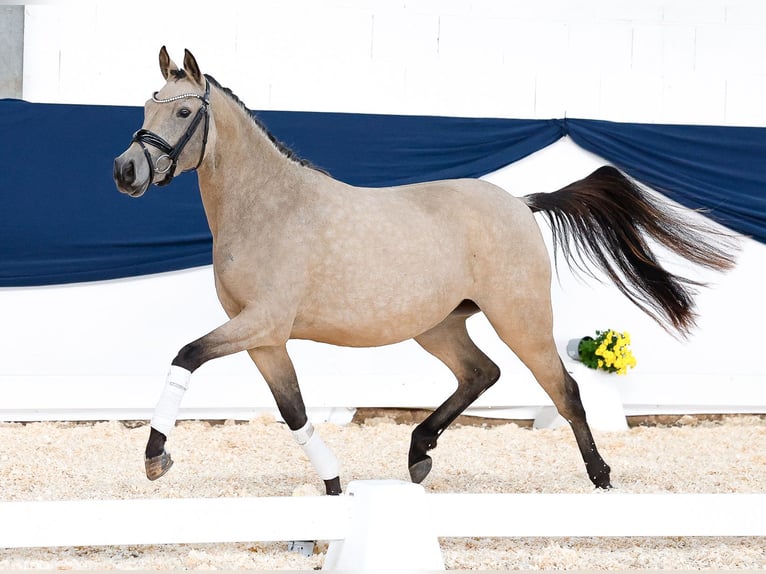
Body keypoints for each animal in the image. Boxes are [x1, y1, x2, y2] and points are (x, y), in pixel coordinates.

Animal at [114, 47, 736, 498]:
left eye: (184, 111)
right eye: (146, 108)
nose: (126, 170)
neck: (269, 207)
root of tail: (521, 203)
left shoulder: (262, 323)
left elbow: (186, 356)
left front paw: (156, 458)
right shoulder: (265, 339)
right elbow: (294, 412)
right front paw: (334, 486)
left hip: (521, 319)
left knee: (564, 389)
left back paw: (601, 476)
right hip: (439, 326)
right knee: (481, 373)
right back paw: (419, 454)